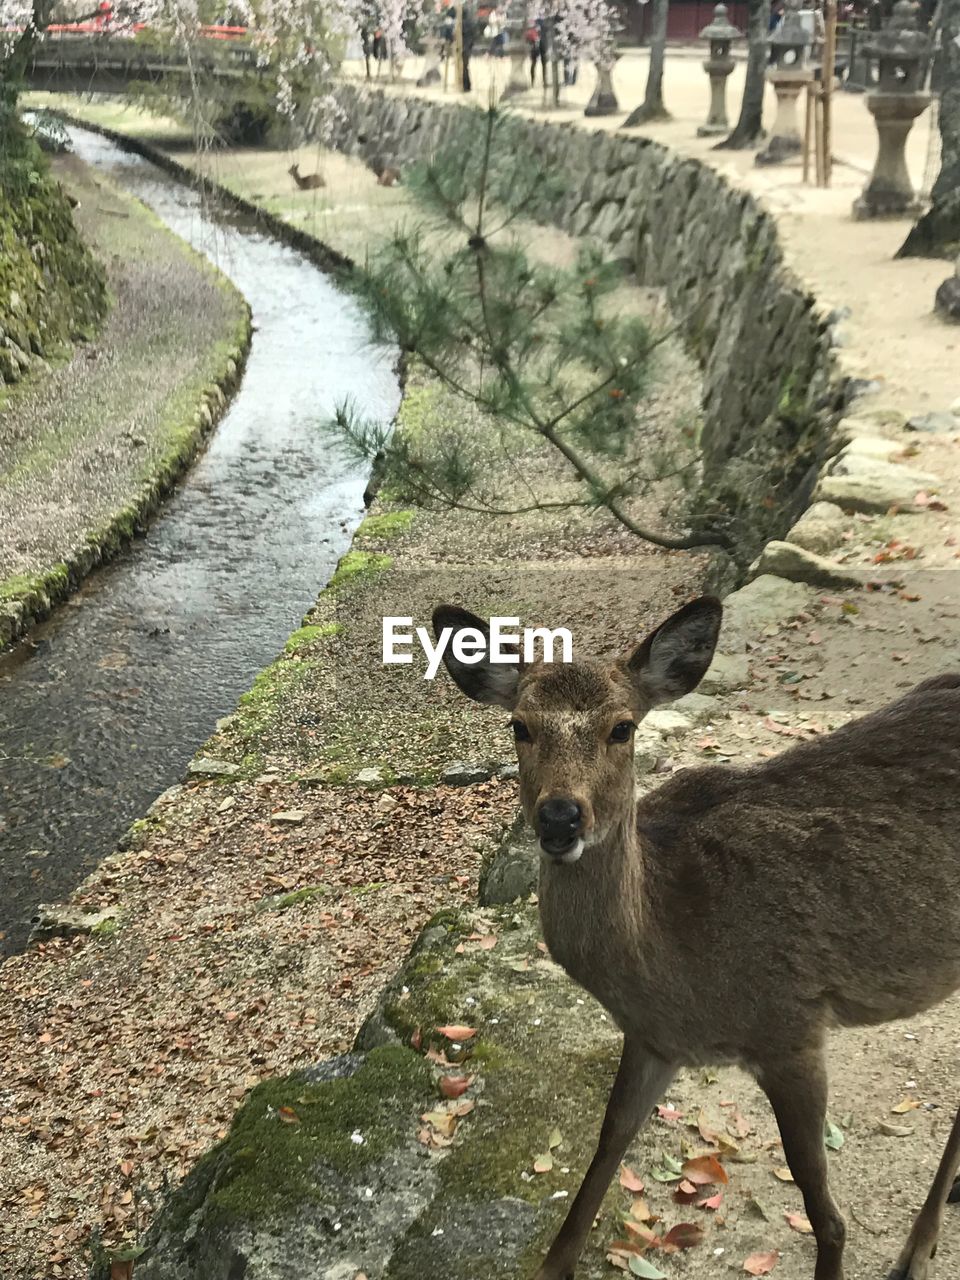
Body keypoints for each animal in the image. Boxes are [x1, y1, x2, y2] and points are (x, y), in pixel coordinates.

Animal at [432, 596, 960, 1280]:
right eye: (519, 726)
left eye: (622, 728)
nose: (559, 817)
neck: (672, 963)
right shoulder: (655, 1041)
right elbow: (606, 1146)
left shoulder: (791, 1026)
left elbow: (826, 1213)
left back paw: (915, 1252)